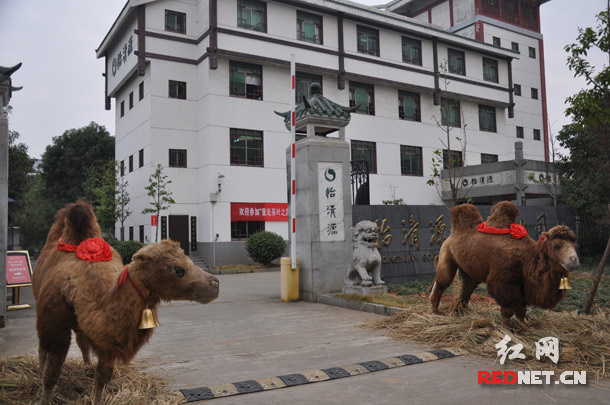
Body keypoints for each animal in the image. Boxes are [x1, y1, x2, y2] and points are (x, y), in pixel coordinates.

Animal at [32, 200, 218, 402]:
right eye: (178, 270)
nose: (215, 283)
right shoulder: (55, 326)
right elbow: (51, 374)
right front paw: (44, 397)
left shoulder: (107, 345)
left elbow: (102, 378)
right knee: (43, 347)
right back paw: (40, 368)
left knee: (81, 341)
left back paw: (87, 366)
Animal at [430, 200, 576, 326]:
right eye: (556, 245)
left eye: (575, 244)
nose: (574, 260)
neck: (527, 260)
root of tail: (450, 236)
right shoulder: (502, 281)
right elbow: (508, 310)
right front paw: (507, 329)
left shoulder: (522, 284)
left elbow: (521, 311)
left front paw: (523, 327)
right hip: (446, 253)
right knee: (442, 282)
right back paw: (435, 313)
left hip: (469, 269)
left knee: (468, 287)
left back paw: (456, 313)